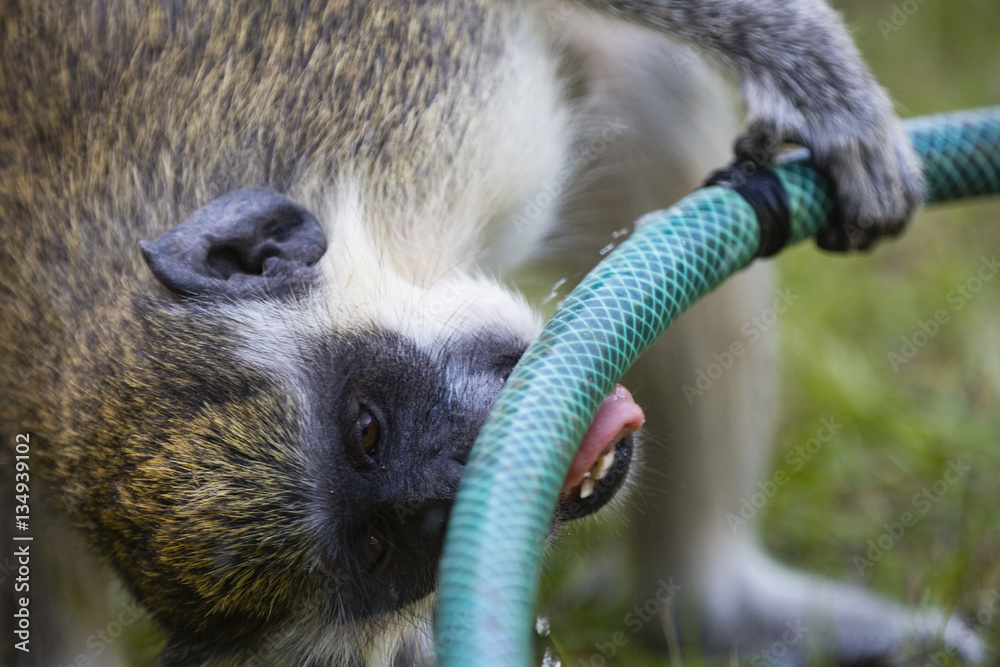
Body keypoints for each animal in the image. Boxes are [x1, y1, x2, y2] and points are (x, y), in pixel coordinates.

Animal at [0, 0, 984, 665]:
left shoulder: (409, 77)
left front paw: (814, 75)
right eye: (383, 545)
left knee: (648, 83)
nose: (458, 474)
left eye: (366, 427)